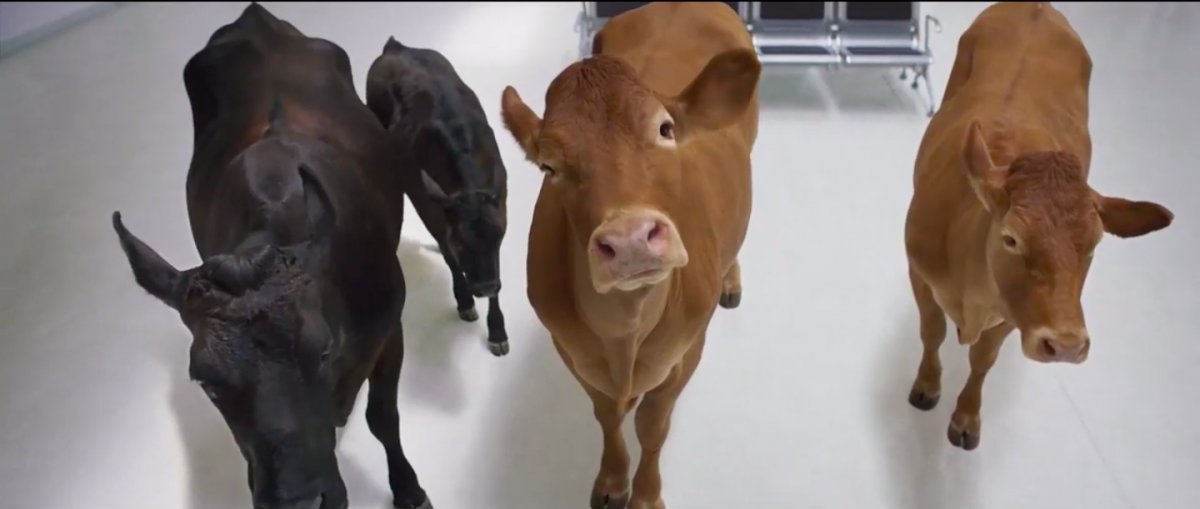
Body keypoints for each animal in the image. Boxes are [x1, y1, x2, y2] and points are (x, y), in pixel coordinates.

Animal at [111, 4, 432, 509]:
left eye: (323, 350)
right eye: (206, 382)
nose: (298, 501)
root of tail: (254, 17)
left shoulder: (388, 326)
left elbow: (383, 416)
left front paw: (408, 488)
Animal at [365, 38, 511, 356]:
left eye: (499, 237)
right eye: (460, 242)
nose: (485, 287)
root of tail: (395, 47)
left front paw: (497, 331)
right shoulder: (430, 211)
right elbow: (449, 257)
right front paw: (465, 301)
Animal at [499, 3, 760, 507]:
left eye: (665, 129)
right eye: (548, 166)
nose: (631, 239)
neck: (626, 333)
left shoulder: (686, 352)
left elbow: (652, 427)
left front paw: (645, 494)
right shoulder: (574, 354)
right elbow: (608, 417)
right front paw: (612, 481)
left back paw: (731, 278)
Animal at [904, 2, 1174, 451]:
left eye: (1095, 244)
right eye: (1011, 238)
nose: (1066, 345)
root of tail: (1037, 7)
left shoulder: (1015, 312)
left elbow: (983, 359)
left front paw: (966, 418)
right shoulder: (919, 274)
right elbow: (931, 332)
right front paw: (927, 386)